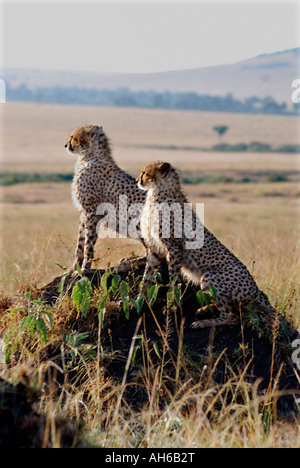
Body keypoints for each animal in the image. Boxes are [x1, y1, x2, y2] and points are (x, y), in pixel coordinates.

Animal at [64, 124, 146, 274]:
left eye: (73, 137)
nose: (66, 145)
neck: (89, 156)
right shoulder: (84, 212)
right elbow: (80, 241)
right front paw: (74, 268)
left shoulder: (92, 211)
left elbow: (89, 242)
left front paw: (84, 268)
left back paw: (128, 263)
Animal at [137, 161, 276, 330]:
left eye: (145, 173)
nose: (137, 180)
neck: (158, 192)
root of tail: (256, 289)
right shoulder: (155, 249)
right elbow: (146, 277)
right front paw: (137, 301)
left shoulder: (174, 249)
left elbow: (173, 280)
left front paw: (171, 306)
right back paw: (204, 309)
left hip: (209, 276)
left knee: (232, 316)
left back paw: (202, 322)